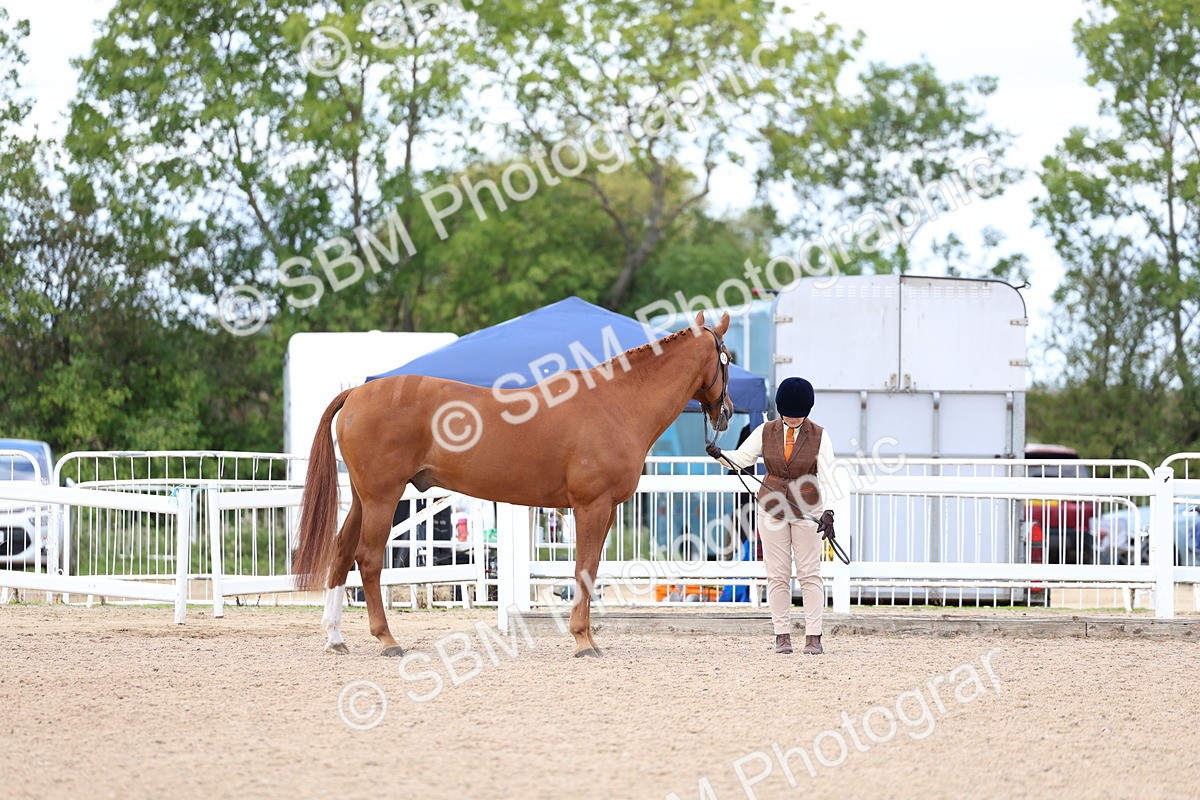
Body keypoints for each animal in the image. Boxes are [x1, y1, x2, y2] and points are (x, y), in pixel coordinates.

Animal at [292, 310, 733, 657]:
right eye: (728, 359)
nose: (727, 411)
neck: (617, 403)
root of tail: (357, 393)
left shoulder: (604, 510)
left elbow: (589, 570)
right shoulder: (592, 505)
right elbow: (584, 568)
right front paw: (583, 641)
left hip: (363, 498)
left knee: (340, 553)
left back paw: (335, 637)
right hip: (382, 497)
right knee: (367, 560)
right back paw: (386, 640)